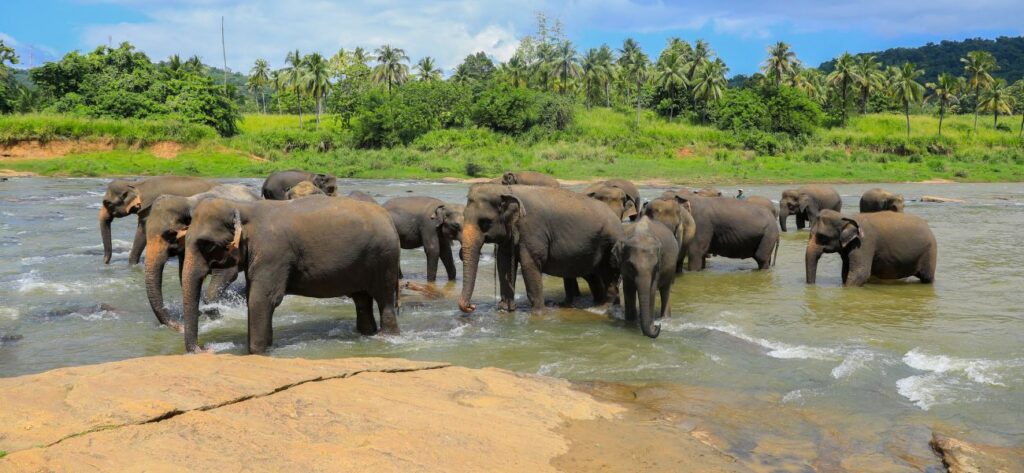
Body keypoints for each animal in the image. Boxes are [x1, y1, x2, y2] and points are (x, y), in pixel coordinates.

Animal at [144, 184, 260, 330]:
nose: (180, 327)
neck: (188, 201)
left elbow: (228, 273)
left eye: (169, 235)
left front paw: (216, 316)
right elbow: (184, 275)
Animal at [181, 196, 401, 354]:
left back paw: (387, 338)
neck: (242, 207)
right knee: (362, 300)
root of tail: (388, 217)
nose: (204, 348)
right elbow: (255, 299)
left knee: (384, 300)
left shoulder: (272, 253)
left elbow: (261, 299)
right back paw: (367, 335)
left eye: (207, 245)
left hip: (384, 260)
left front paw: (256, 352)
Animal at [458, 184, 623, 313]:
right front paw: (505, 310)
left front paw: (539, 313)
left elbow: (529, 264)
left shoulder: (532, 230)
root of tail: (616, 218)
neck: (506, 190)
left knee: (609, 274)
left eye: (485, 222)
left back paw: (603, 308)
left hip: (610, 243)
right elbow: (503, 262)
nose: (471, 306)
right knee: (593, 276)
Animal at [805, 210, 936, 286]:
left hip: (930, 251)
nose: (812, 287)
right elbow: (845, 272)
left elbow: (860, 273)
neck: (846, 217)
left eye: (822, 237)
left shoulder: (864, 243)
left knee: (927, 278)